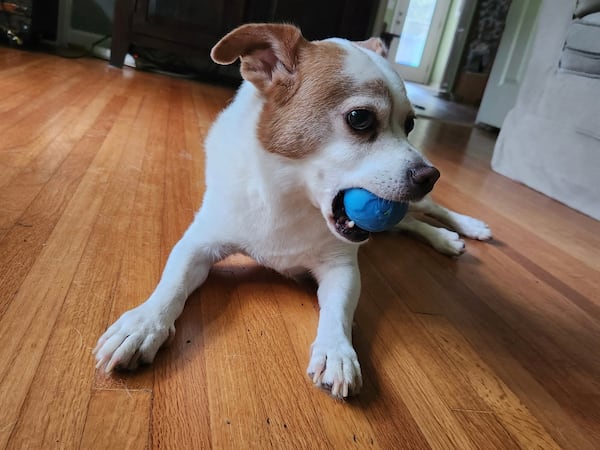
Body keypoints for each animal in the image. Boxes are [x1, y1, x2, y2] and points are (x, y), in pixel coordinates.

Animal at [92, 23, 488, 398]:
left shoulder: (341, 268)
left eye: (410, 125)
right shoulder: (197, 245)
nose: (430, 175)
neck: (291, 196)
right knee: (408, 222)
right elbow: (171, 285)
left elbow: (337, 312)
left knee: (425, 213)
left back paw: (462, 230)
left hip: (406, 204)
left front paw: (336, 351)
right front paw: (143, 324)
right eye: (360, 118)